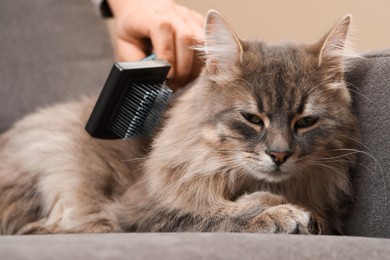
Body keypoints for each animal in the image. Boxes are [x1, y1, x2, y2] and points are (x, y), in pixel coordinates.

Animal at [0, 10, 360, 235]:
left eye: (306, 121)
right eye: (252, 119)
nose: (279, 155)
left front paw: (298, 211)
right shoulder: (140, 208)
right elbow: (213, 214)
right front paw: (278, 210)